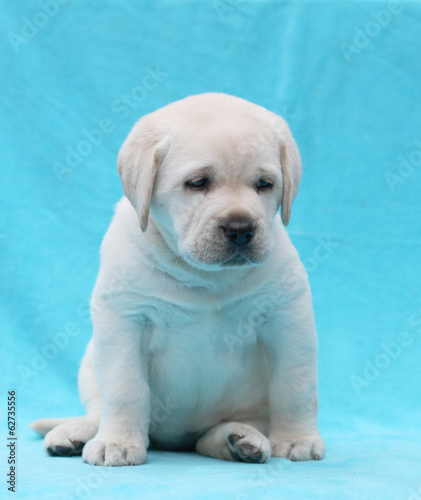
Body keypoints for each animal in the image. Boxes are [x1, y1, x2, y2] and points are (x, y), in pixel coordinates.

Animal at [31, 93, 324, 464]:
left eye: (264, 184)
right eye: (197, 183)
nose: (241, 229)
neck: (204, 276)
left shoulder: (289, 318)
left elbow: (296, 386)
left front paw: (298, 438)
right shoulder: (124, 320)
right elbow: (124, 387)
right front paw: (117, 442)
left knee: (210, 438)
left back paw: (240, 440)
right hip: (90, 357)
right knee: (98, 411)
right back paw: (78, 433)